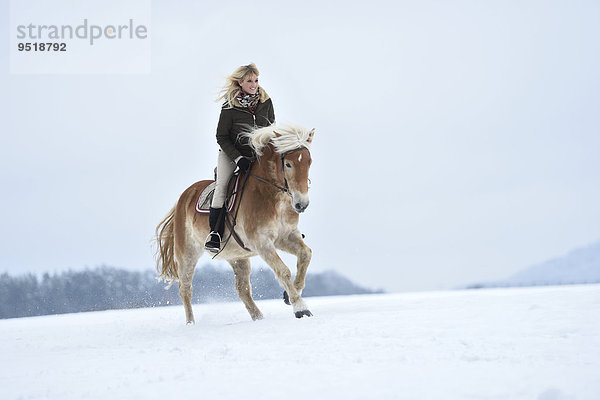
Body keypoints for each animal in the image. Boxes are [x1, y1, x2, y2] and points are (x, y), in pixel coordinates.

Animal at [154, 123, 314, 324]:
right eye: (288, 164)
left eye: (309, 162)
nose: (302, 204)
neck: (273, 197)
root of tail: (185, 196)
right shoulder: (262, 243)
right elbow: (283, 271)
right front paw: (300, 308)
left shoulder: (286, 237)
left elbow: (306, 254)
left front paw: (289, 295)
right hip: (187, 254)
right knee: (185, 289)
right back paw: (191, 324)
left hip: (237, 256)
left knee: (242, 289)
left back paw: (259, 318)